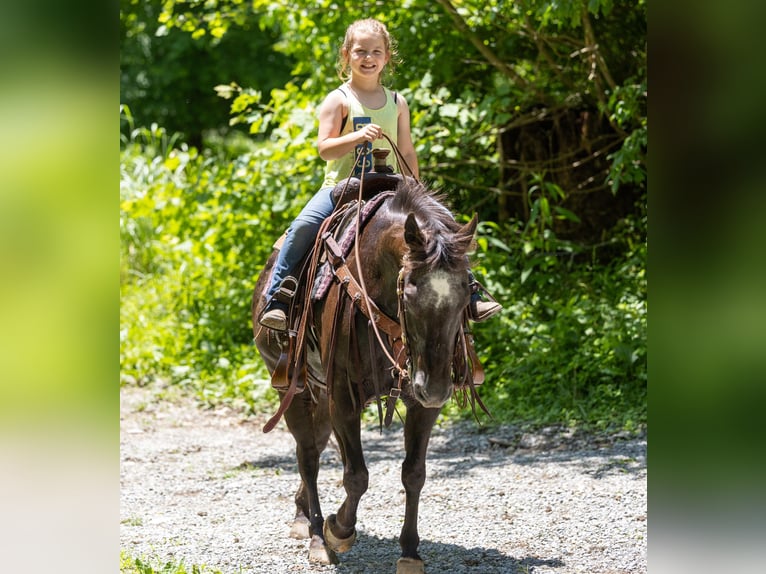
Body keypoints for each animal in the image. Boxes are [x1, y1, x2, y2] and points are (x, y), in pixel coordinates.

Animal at [251, 178, 481, 574]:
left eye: (467, 293)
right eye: (409, 293)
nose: (436, 389)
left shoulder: (420, 402)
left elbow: (413, 473)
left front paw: (410, 551)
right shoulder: (343, 394)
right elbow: (356, 475)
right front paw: (338, 530)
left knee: (316, 445)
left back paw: (302, 516)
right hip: (293, 387)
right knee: (308, 456)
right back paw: (316, 536)